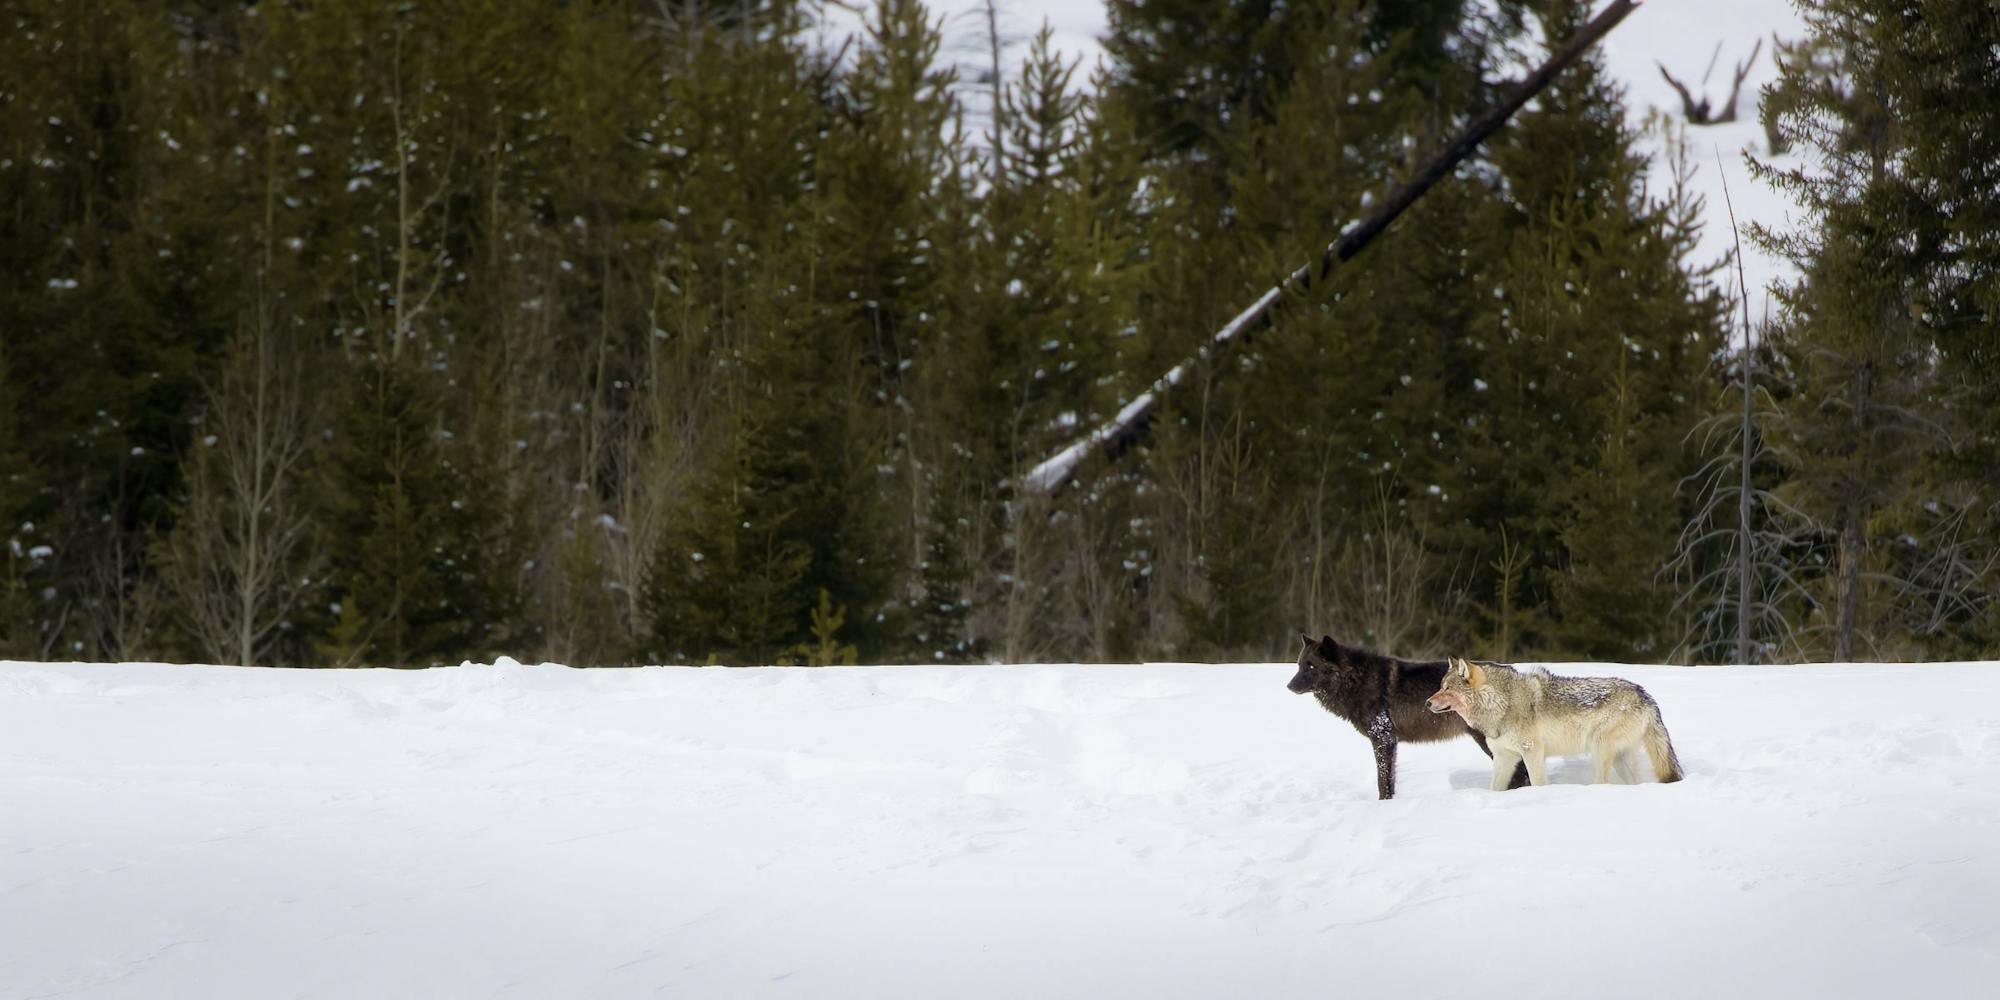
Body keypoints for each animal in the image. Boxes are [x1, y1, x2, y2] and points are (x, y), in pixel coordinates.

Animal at [1280, 636, 1528, 800]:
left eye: (1311, 666)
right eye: (1299, 665)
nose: (1289, 686)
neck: (1356, 680)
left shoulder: (1383, 739)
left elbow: (1382, 780)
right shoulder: (1389, 742)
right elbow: (1389, 780)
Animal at [1424, 660, 1688, 792]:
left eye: (1447, 688)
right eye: (1440, 686)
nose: (1427, 703)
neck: (1502, 702)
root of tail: (1646, 696)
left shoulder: (1532, 751)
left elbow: (1538, 783)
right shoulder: (1504, 757)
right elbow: (1494, 788)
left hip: (1599, 748)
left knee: (1602, 783)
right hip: (1620, 757)